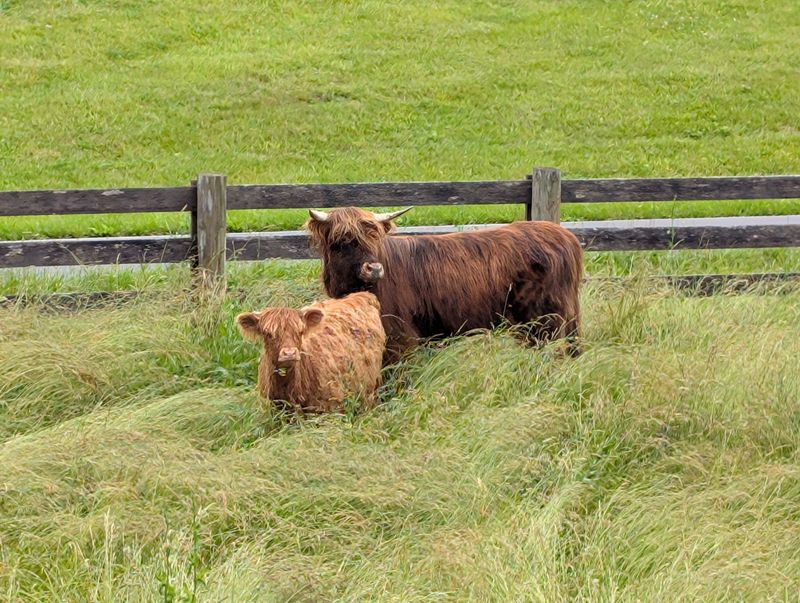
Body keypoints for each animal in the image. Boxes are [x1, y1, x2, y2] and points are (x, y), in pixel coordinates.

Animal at [305, 207, 583, 360]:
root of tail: (565, 235)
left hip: (544, 320)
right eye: (343, 241)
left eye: (374, 239)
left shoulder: (398, 334)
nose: (374, 268)